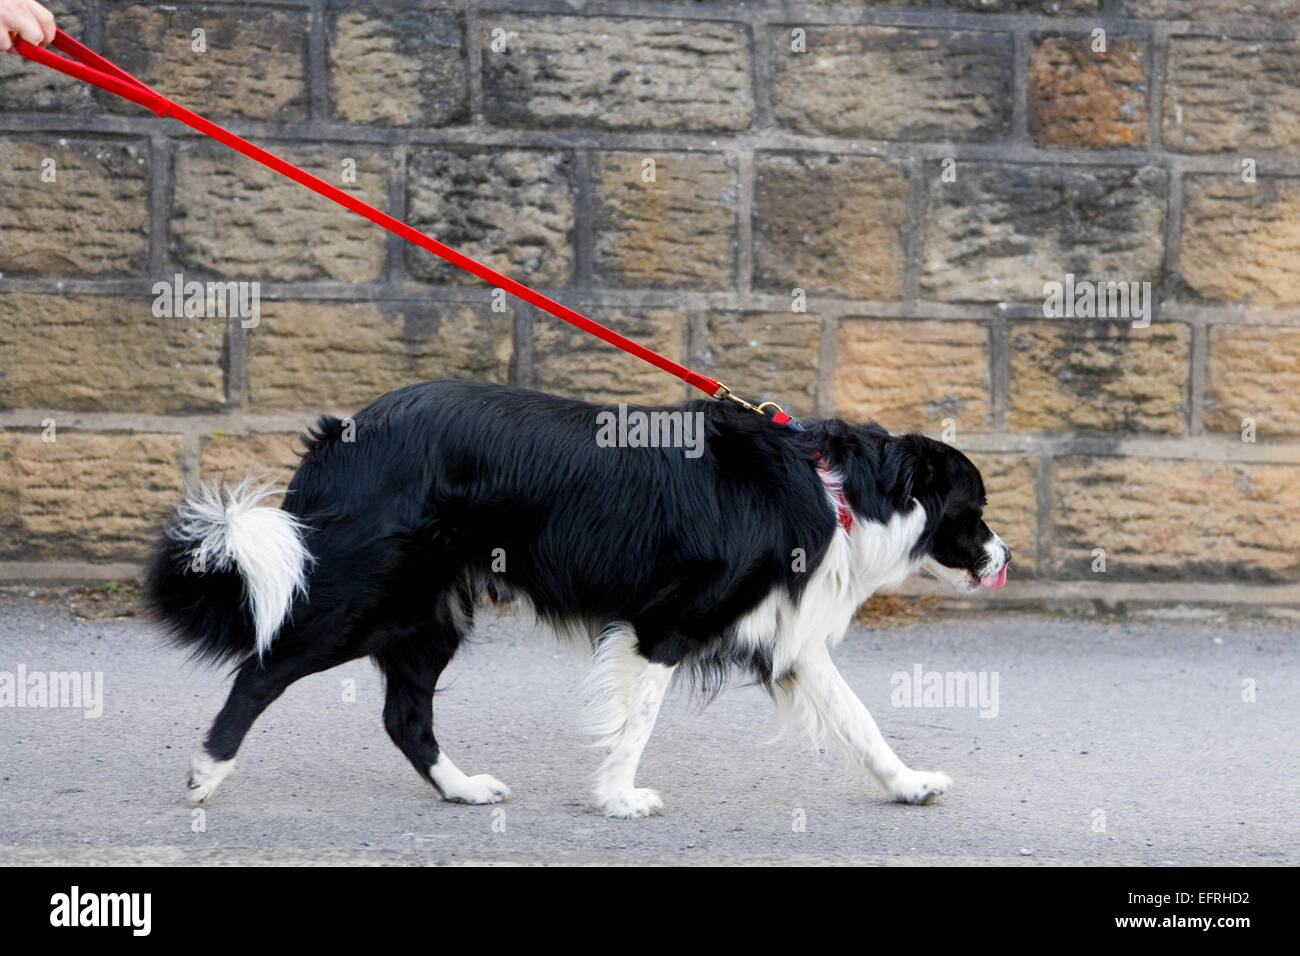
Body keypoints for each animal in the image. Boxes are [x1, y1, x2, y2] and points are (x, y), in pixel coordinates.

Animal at [147, 382, 1008, 822]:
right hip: (368, 594)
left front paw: (908, 784)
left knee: (404, 715)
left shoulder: (784, 637)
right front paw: (619, 797)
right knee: (264, 667)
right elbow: (638, 722)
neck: (837, 488)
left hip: (427, 611)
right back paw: (207, 772)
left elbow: (861, 720)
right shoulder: (665, 624)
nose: (1004, 557)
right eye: (976, 509)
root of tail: (342, 433)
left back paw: (462, 789)